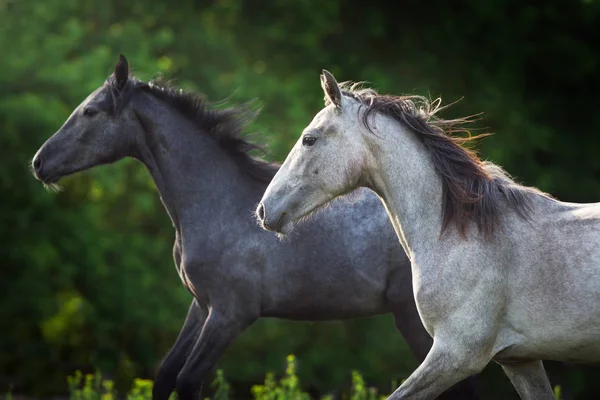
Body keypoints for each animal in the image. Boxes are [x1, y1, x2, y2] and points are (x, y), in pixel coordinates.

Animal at [30, 55, 478, 400]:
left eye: (90, 112)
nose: (39, 162)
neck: (216, 205)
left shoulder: (232, 313)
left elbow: (189, 380)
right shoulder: (202, 305)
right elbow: (166, 375)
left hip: (419, 323)